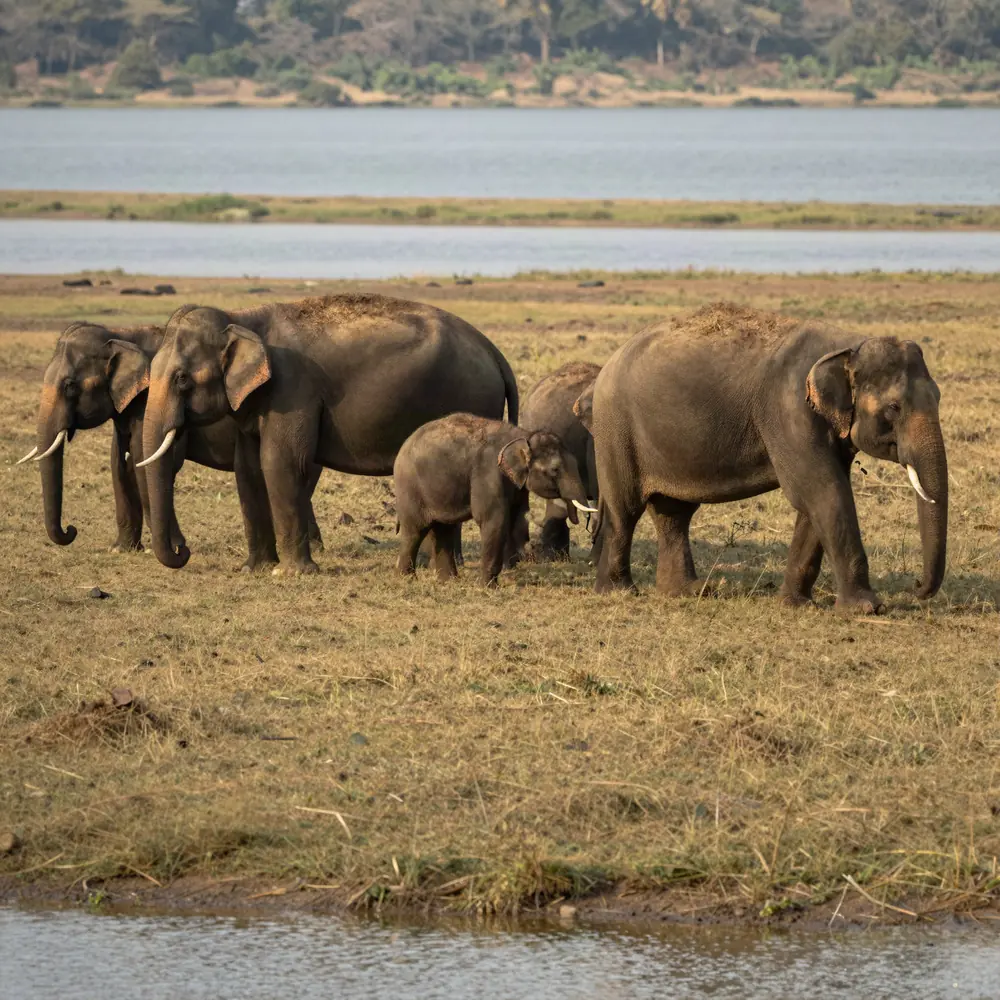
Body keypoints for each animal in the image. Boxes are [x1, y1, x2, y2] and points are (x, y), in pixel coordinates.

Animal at [16, 321, 322, 564]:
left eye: (69, 386)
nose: (71, 529)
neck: (120, 333)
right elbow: (119, 464)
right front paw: (120, 550)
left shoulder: (146, 401)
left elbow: (144, 464)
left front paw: (172, 547)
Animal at [139, 293, 519, 573]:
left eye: (182, 379)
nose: (183, 550)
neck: (243, 318)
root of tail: (494, 351)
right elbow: (247, 470)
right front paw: (254, 569)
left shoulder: (293, 390)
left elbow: (281, 463)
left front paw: (293, 573)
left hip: (469, 398)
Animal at [393, 413, 595, 586]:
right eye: (555, 470)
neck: (523, 436)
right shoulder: (488, 473)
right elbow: (494, 520)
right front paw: (488, 586)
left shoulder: (516, 483)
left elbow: (517, 518)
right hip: (410, 488)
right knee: (415, 529)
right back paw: (407, 578)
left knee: (443, 529)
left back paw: (449, 581)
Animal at [590, 303, 948, 613]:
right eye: (894, 408)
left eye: (939, 397)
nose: (916, 586)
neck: (849, 343)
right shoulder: (788, 411)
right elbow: (821, 491)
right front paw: (866, 609)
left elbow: (818, 498)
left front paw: (795, 604)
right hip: (615, 431)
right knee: (625, 511)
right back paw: (620, 591)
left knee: (674, 513)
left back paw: (689, 592)